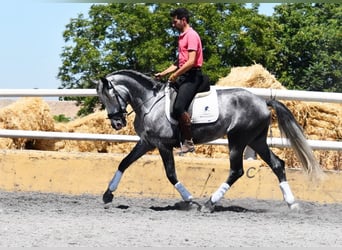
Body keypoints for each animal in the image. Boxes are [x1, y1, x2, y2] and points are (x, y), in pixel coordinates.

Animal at [97, 69, 324, 211]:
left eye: (109, 96)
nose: (116, 123)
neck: (149, 102)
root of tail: (262, 101)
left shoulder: (163, 145)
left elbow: (170, 174)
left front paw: (190, 200)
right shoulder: (147, 142)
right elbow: (124, 162)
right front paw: (108, 194)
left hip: (238, 139)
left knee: (236, 171)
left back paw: (209, 203)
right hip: (256, 140)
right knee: (277, 164)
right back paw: (292, 203)